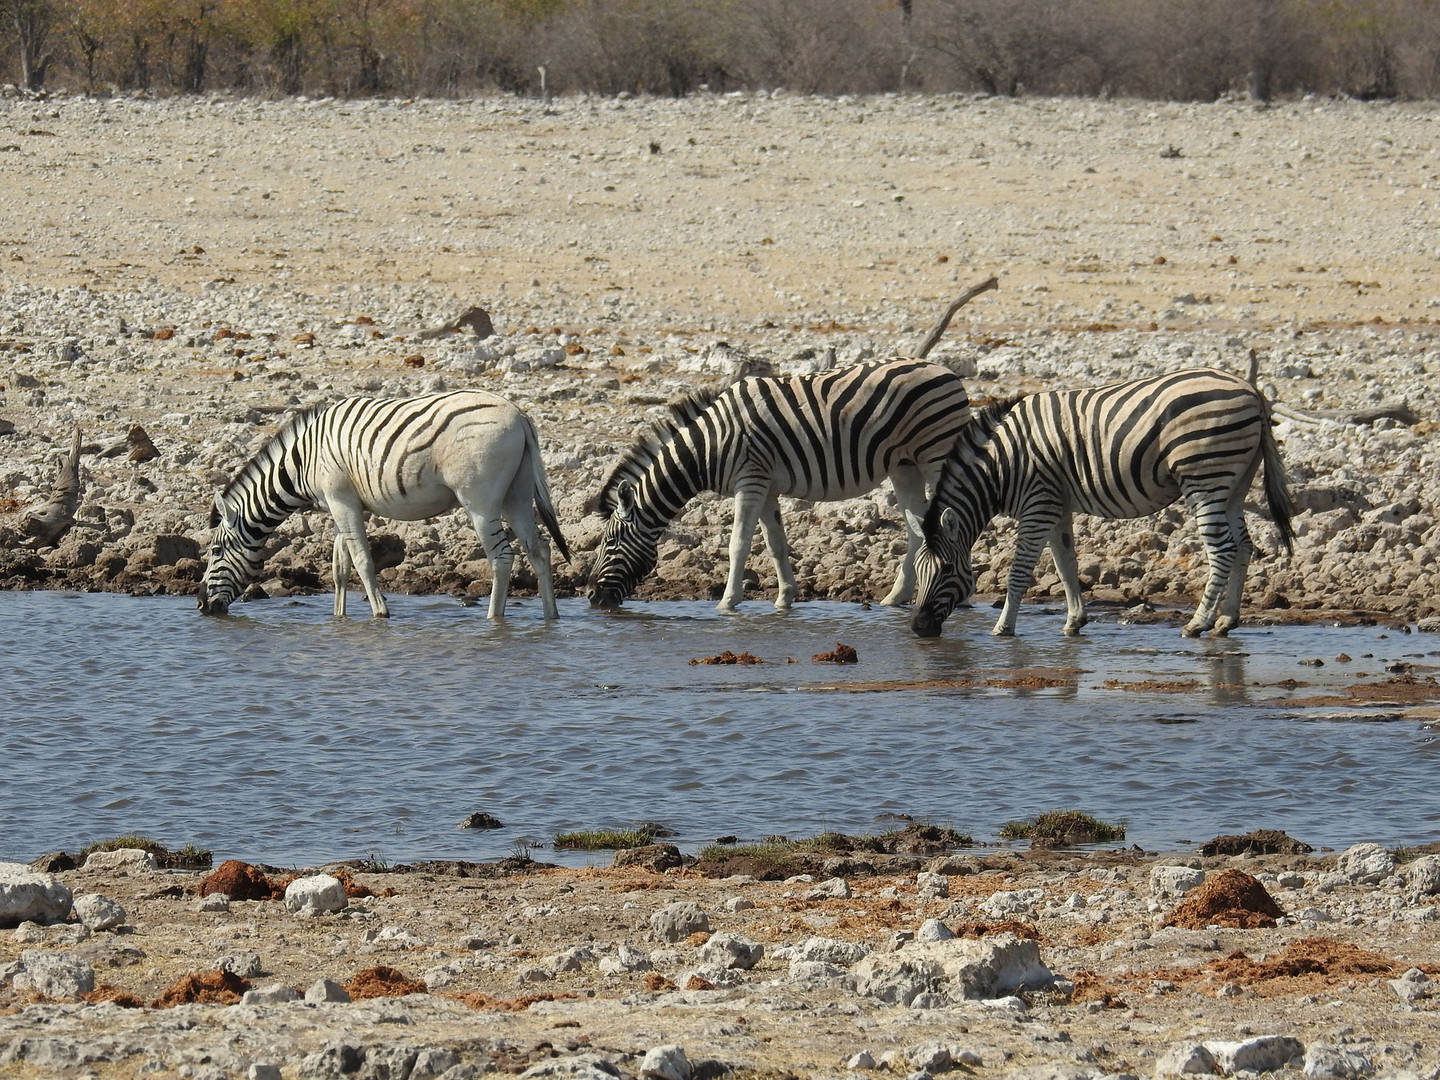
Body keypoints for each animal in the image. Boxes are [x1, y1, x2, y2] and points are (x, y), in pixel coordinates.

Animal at [197, 394, 567, 622]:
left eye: (215, 551)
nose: (200, 604)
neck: (303, 462)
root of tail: (519, 415)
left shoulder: (341, 499)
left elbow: (362, 560)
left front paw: (380, 612)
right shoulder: (339, 504)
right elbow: (340, 566)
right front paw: (338, 617)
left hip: (479, 499)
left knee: (502, 557)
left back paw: (493, 619)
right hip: (516, 495)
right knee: (539, 549)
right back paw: (551, 616)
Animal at [584, 355, 967, 610]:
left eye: (611, 542)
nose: (591, 597)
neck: (707, 447)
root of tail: (947, 371)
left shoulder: (750, 480)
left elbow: (739, 544)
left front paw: (727, 603)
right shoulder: (765, 486)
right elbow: (775, 543)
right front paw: (784, 599)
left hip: (937, 454)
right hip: (904, 466)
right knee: (917, 529)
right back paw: (895, 597)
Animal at [910, 371, 1296, 639]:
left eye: (947, 569)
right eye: (916, 570)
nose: (916, 627)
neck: (1001, 464)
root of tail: (1252, 391)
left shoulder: (1038, 504)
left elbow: (1019, 571)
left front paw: (1003, 628)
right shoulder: (1057, 504)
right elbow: (1066, 563)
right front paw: (1074, 622)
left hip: (1205, 476)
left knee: (1223, 549)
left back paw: (1197, 624)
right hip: (1235, 482)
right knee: (1244, 546)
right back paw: (1226, 621)